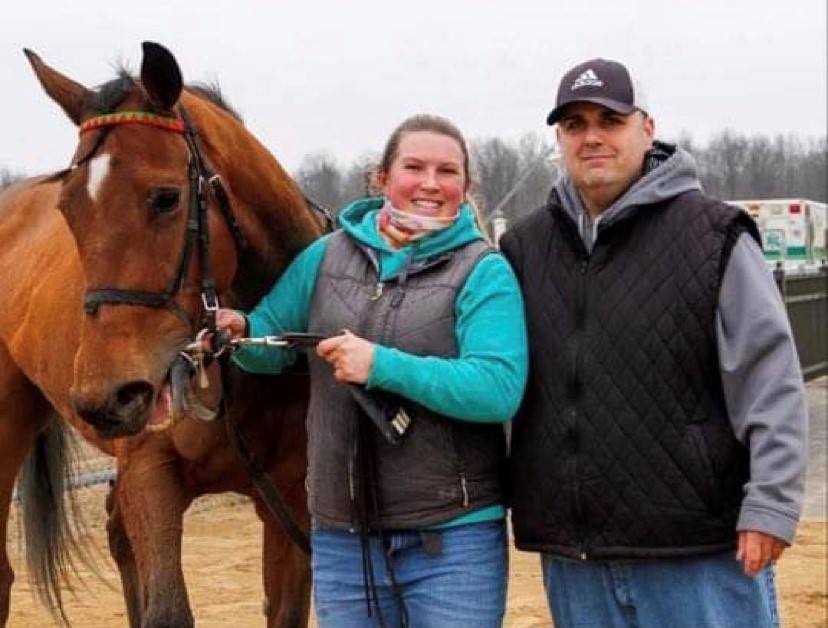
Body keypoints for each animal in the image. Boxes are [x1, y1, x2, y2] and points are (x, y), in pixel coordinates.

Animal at [0, 41, 322, 624]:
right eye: (68, 209)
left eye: (167, 197)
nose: (108, 397)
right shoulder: (151, 475)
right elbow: (166, 610)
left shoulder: (290, 502)